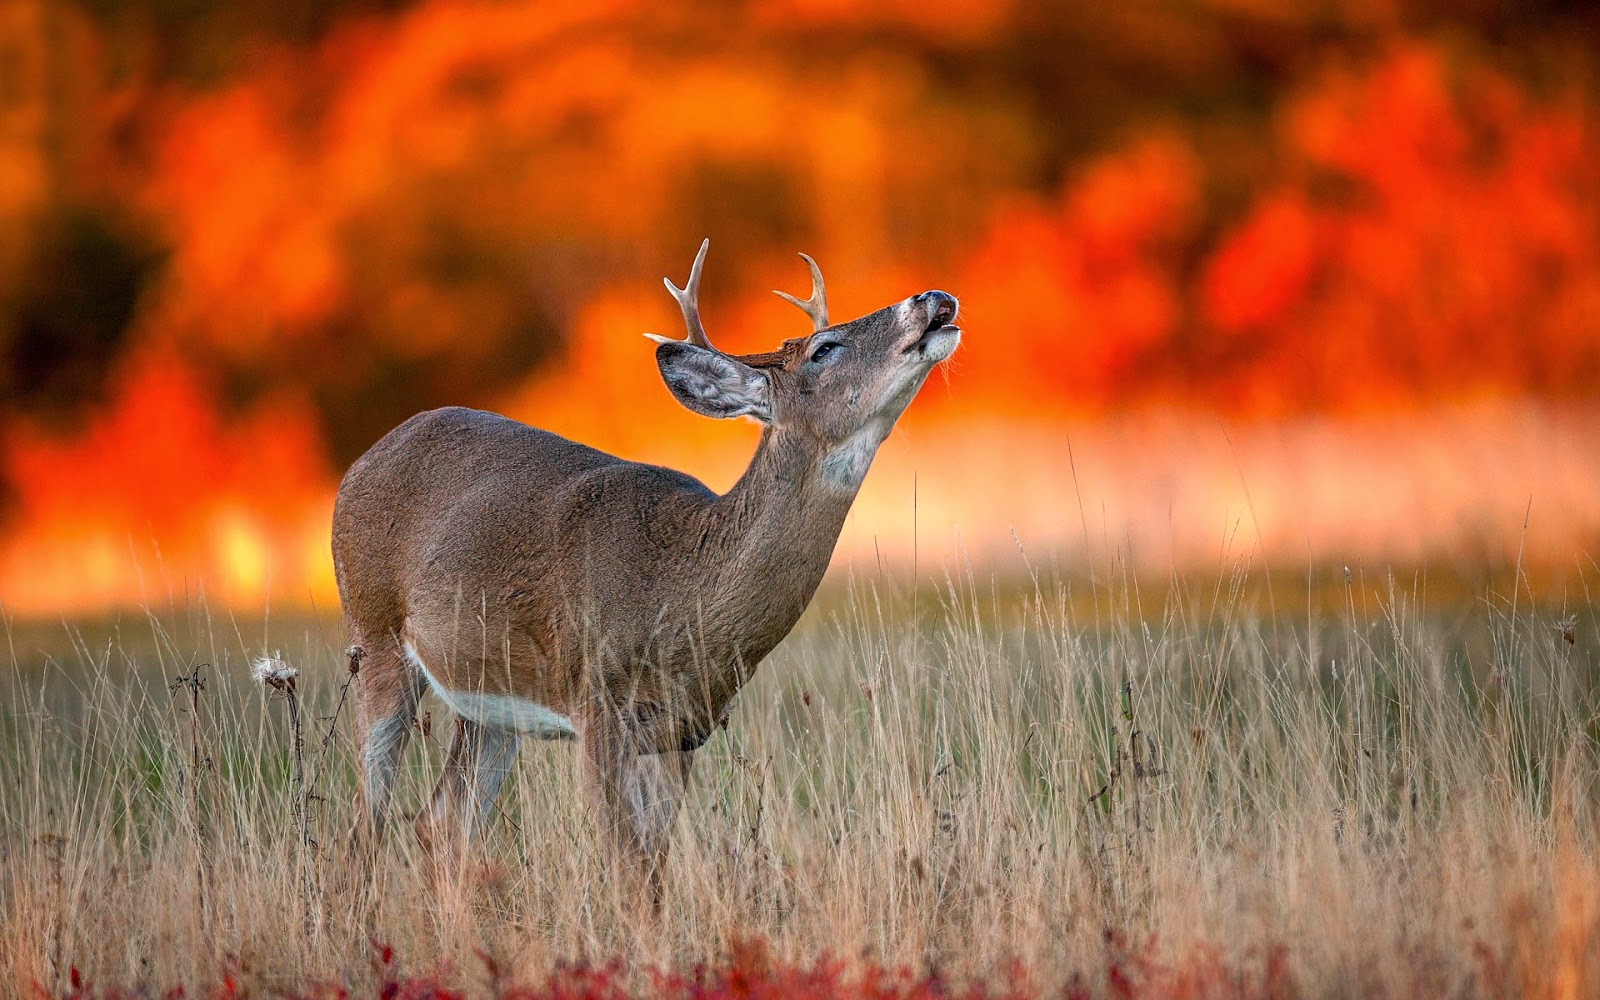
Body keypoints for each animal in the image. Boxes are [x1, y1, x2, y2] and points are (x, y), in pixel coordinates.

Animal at [331, 243, 953, 896]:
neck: (681, 590)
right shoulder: (597, 704)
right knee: (366, 825)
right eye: (824, 349)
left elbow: (652, 872)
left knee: (441, 823)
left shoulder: (685, 731)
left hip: (491, 698)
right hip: (374, 633)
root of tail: (360, 463)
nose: (933, 299)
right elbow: (625, 869)